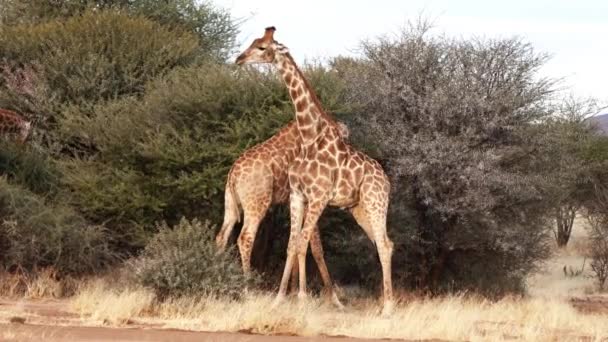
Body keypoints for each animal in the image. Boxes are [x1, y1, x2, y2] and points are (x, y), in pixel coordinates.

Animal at [215, 119, 350, 306]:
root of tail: (232, 174)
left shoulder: (294, 200)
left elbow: (295, 240)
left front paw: (292, 293)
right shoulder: (308, 198)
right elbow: (316, 246)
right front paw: (335, 300)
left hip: (231, 204)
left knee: (221, 236)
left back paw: (220, 282)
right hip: (257, 203)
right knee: (245, 238)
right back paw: (248, 289)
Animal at [235, 27, 396, 316]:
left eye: (263, 48)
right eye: (254, 42)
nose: (239, 59)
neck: (310, 137)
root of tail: (386, 180)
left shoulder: (319, 197)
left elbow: (303, 243)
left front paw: (300, 299)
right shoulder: (298, 195)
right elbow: (292, 244)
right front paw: (279, 299)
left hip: (376, 202)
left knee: (385, 243)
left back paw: (388, 308)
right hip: (358, 208)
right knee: (383, 244)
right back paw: (383, 304)